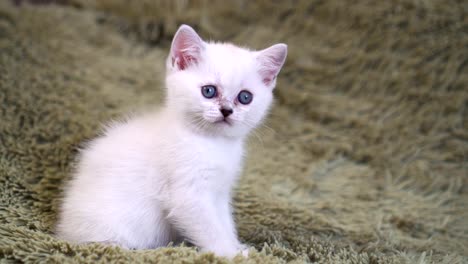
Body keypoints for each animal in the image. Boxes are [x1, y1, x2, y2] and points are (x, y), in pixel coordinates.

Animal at [56, 24, 288, 258]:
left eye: (245, 97)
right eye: (209, 91)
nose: (226, 111)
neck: (213, 144)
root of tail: (63, 229)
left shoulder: (219, 193)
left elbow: (224, 223)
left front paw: (238, 246)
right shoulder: (188, 196)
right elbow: (211, 230)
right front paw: (232, 253)